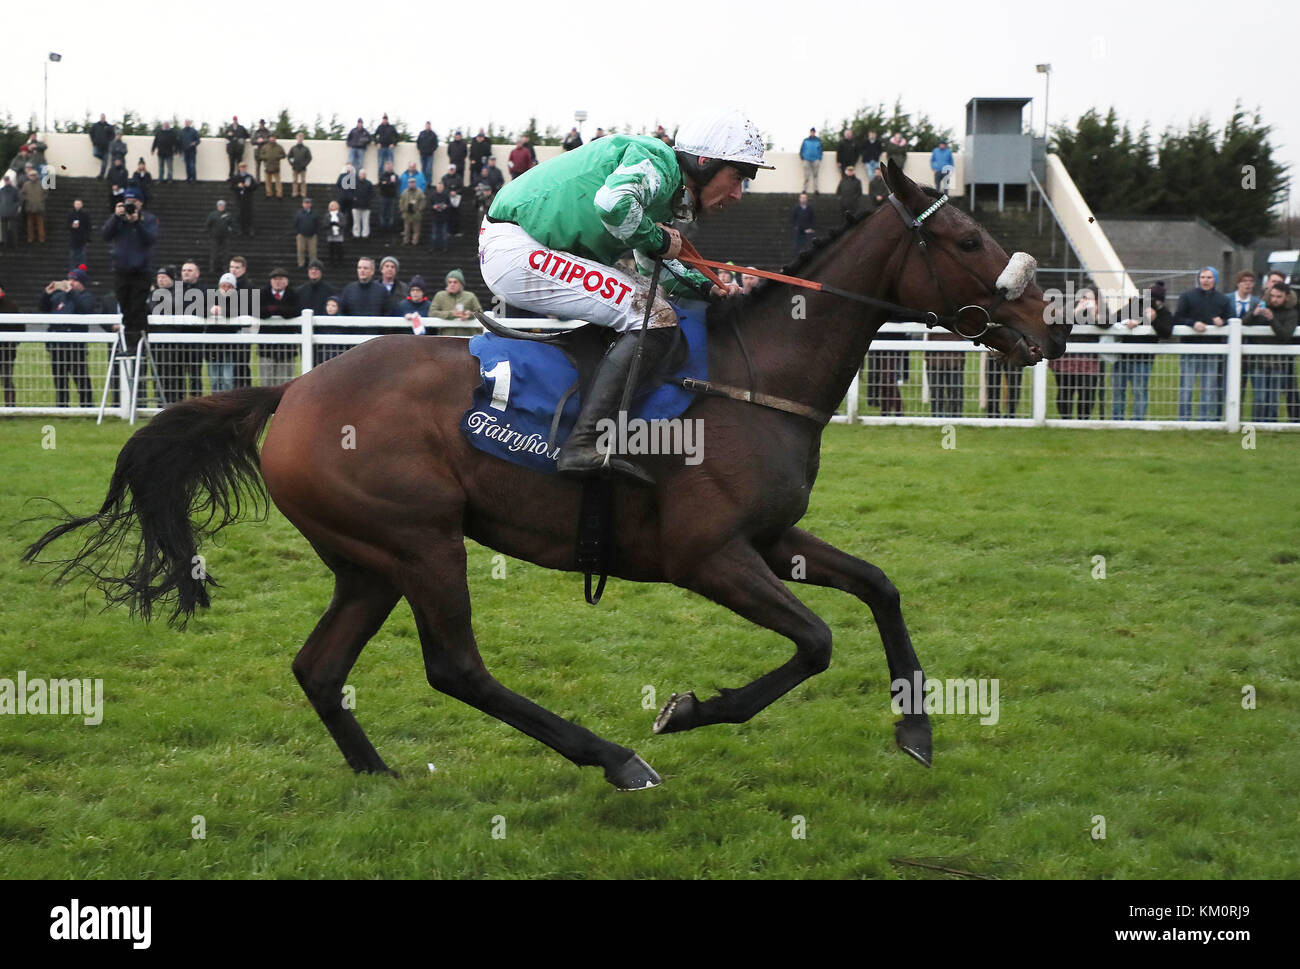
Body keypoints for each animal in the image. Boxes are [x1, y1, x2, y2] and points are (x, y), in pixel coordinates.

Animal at [25, 162, 1066, 790]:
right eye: (967, 241)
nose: (1048, 329)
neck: (753, 374)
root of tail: (293, 391)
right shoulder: (707, 555)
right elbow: (813, 642)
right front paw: (689, 712)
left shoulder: (770, 538)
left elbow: (880, 588)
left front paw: (916, 730)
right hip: (420, 541)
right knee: (456, 667)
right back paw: (613, 757)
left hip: (367, 560)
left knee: (319, 666)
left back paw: (379, 774)